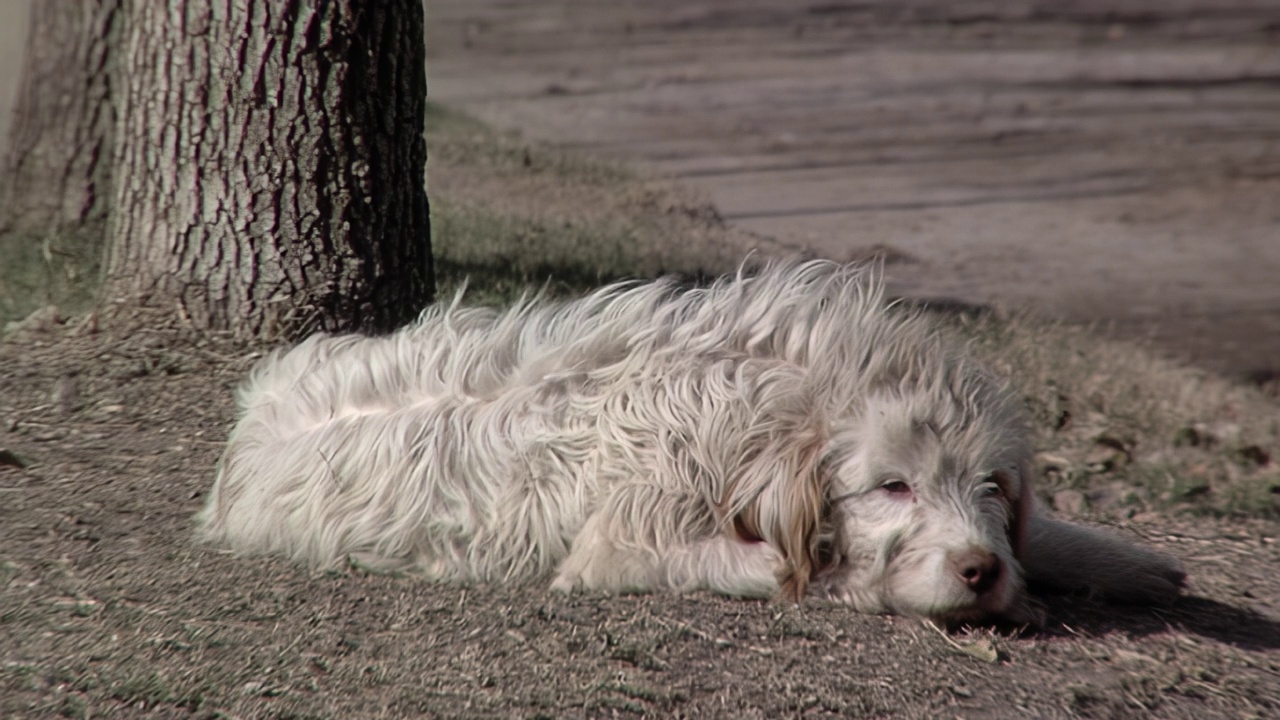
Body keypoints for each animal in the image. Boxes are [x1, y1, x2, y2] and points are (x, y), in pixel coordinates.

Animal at [199, 260, 1187, 620]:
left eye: (992, 486)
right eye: (892, 487)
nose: (980, 571)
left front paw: (1136, 565)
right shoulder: (619, 543)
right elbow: (776, 567)